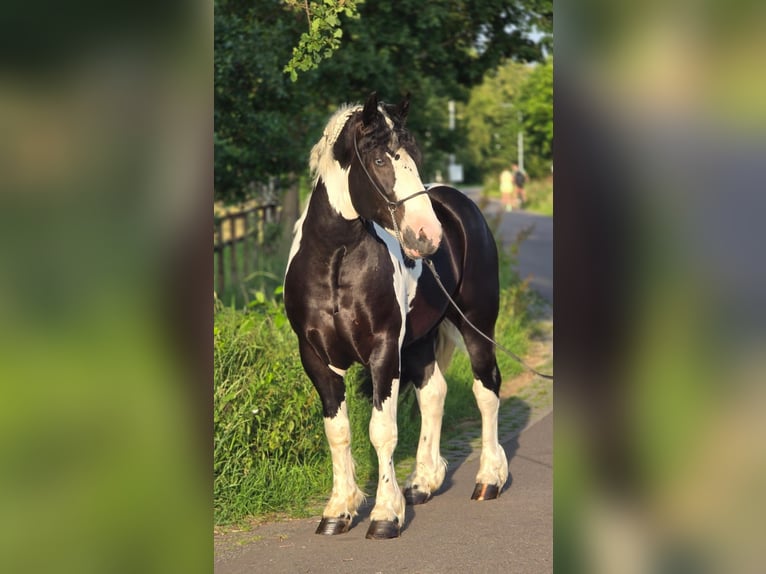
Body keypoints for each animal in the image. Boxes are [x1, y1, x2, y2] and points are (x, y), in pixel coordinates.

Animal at [283, 92, 507, 540]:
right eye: (379, 160)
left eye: (414, 157)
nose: (427, 235)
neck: (333, 263)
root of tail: (457, 202)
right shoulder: (315, 357)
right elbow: (338, 432)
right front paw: (338, 511)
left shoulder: (383, 350)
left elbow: (381, 431)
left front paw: (386, 515)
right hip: (419, 340)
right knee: (434, 393)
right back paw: (423, 482)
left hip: (475, 324)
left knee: (486, 389)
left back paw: (489, 480)